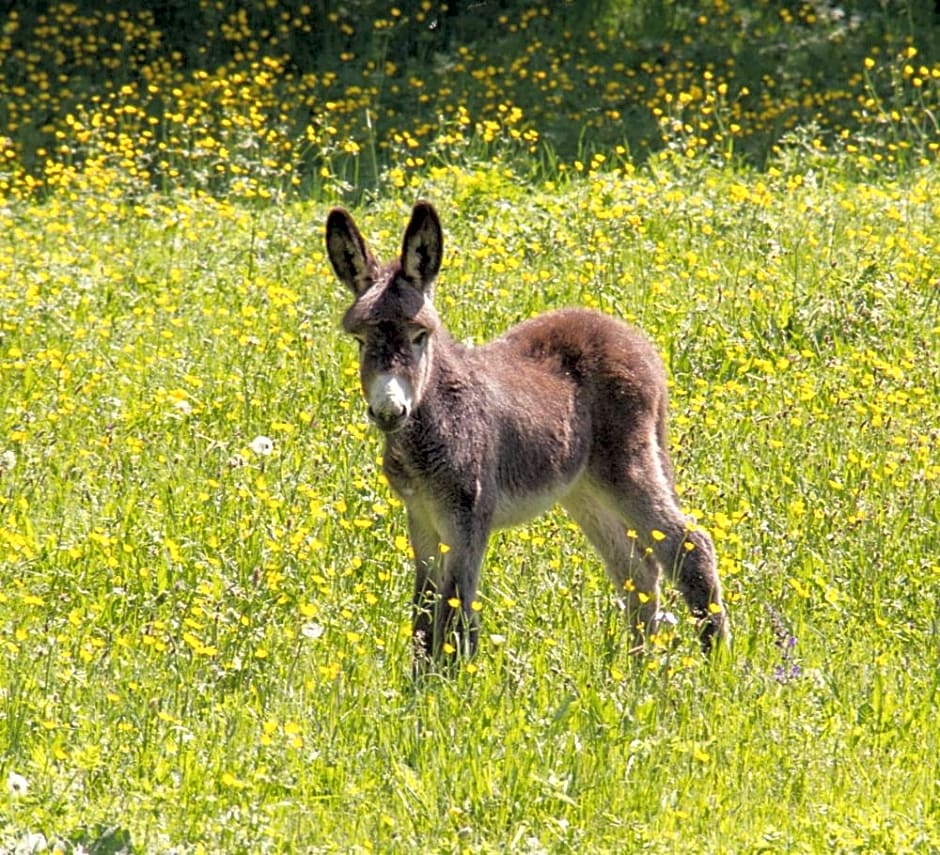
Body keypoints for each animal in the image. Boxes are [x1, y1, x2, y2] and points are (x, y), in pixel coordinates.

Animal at [326, 201, 732, 668]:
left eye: (419, 336)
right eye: (360, 341)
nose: (389, 411)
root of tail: (634, 339)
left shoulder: (468, 517)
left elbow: (456, 613)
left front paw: (452, 683)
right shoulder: (421, 516)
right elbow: (424, 614)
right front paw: (422, 681)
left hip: (626, 467)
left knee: (690, 545)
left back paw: (714, 664)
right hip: (583, 489)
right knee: (638, 571)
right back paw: (637, 670)